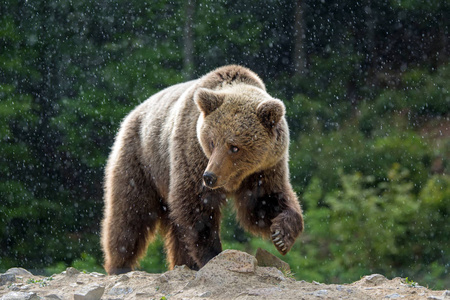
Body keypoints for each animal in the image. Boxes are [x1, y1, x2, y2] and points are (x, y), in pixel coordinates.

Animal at [100, 65, 304, 274]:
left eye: (234, 147)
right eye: (212, 142)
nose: (210, 177)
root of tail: (133, 112)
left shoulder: (264, 169)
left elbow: (262, 203)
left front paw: (281, 235)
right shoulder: (192, 154)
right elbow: (197, 206)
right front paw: (212, 255)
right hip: (142, 160)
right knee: (130, 214)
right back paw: (120, 266)